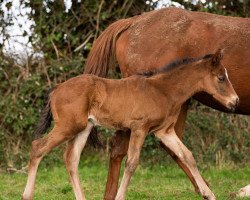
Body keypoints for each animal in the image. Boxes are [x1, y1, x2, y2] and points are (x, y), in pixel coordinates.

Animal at [23, 48, 238, 200]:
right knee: (37, 147)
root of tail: (56, 90)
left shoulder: (165, 132)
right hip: (68, 126)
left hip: (83, 128)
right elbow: (132, 162)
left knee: (71, 159)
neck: (162, 90)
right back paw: (27, 195)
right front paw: (120, 196)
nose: (234, 102)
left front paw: (209, 194)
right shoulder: (139, 128)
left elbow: (188, 156)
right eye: (221, 77)